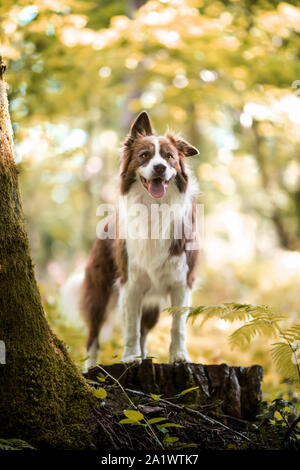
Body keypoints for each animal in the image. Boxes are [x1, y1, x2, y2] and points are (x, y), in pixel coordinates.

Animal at [63, 112, 199, 370]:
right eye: (144, 155)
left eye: (169, 157)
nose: (159, 167)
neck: (155, 208)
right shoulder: (131, 283)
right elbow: (130, 328)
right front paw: (130, 358)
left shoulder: (181, 281)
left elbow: (178, 326)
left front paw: (179, 356)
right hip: (100, 291)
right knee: (93, 335)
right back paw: (91, 367)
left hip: (150, 303)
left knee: (145, 330)